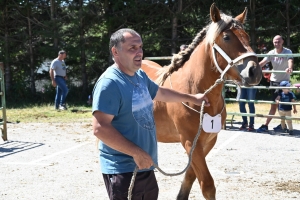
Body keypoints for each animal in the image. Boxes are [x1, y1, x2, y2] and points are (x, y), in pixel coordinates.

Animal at [142, 3, 262, 200]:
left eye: (247, 37)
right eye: (227, 37)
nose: (254, 72)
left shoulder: (207, 141)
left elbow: (191, 175)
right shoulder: (190, 141)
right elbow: (207, 184)